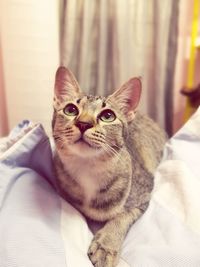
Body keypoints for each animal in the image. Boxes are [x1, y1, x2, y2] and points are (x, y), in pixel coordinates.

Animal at [52, 65, 167, 267]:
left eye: (108, 116)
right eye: (70, 109)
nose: (84, 123)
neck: (88, 170)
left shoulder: (143, 193)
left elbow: (121, 215)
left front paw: (106, 244)